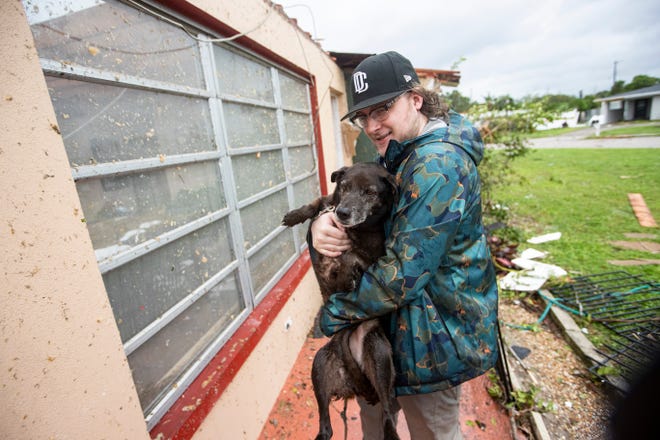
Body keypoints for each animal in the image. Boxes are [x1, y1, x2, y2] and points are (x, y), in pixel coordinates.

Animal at [282, 164, 400, 440]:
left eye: (370, 192)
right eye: (344, 187)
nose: (343, 213)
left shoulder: (373, 256)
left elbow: (352, 257)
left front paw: (349, 273)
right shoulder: (329, 206)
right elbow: (318, 202)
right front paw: (295, 215)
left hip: (378, 353)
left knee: (387, 410)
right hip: (319, 366)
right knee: (326, 425)